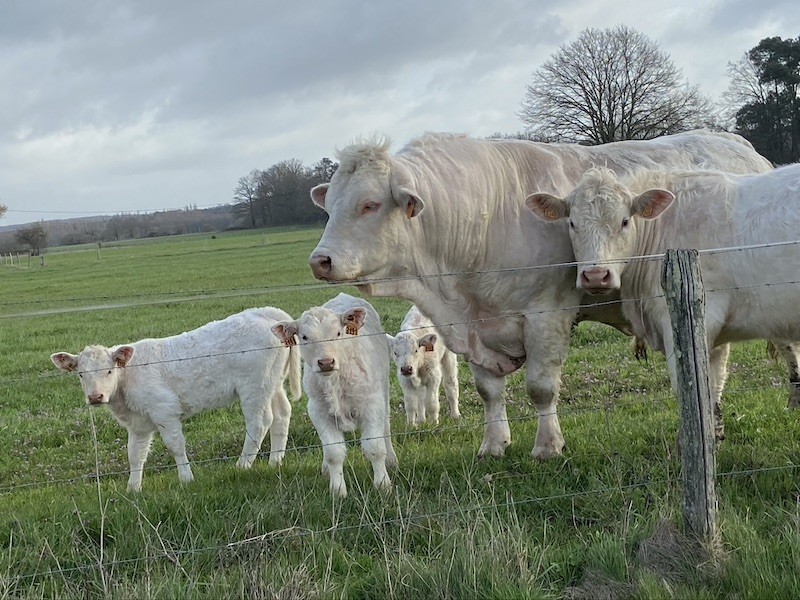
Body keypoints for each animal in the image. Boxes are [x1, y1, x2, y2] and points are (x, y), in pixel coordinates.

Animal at [50, 310, 300, 492]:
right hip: (273, 383)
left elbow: (175, 445)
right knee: (282, 414)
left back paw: (242, 466)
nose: (95, 397)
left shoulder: (164, 411)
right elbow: (135, 454)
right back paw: (275, 462)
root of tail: (266, 314)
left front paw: (186, 479)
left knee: (259, 423)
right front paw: (133, 489)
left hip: (254, 387)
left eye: (109, 371)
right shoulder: (138, 425)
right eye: (81, 374)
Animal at [270, 292, 396, 496]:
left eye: (338, 333)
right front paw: (337, 490)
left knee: (386, 427)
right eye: (304, 337)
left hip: (383, 392)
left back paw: (392, 460)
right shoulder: (318, 411)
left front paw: (383, 485)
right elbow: (333, 453)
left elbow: (374, 447)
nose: (326, 362)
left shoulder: (372, 404)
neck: (335, 382)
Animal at [524, 164, 800, 422]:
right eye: (572, 223)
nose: (595, 275)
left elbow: (691, 390)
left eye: (624, 221)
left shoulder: (693, 320)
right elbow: (713, 392)